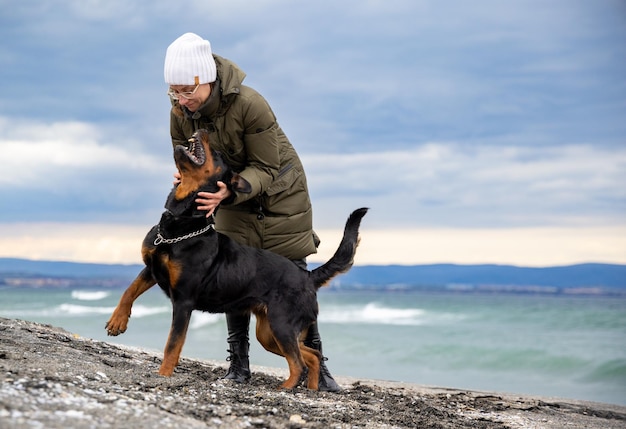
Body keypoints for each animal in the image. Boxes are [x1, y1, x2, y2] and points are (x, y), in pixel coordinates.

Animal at [104, 129, 364, 390]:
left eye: (218, 155)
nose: (202, 130)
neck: (183, 221)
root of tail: (308, 277)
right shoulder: (151, 268)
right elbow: (129, 290)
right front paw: (117, 321)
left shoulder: (183, 301)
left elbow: (172, 344)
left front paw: (164, 375)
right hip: (268, 333)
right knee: (311, 355)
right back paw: (311, 388)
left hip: (281, 324)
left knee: (299, 362)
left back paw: (286, 388)